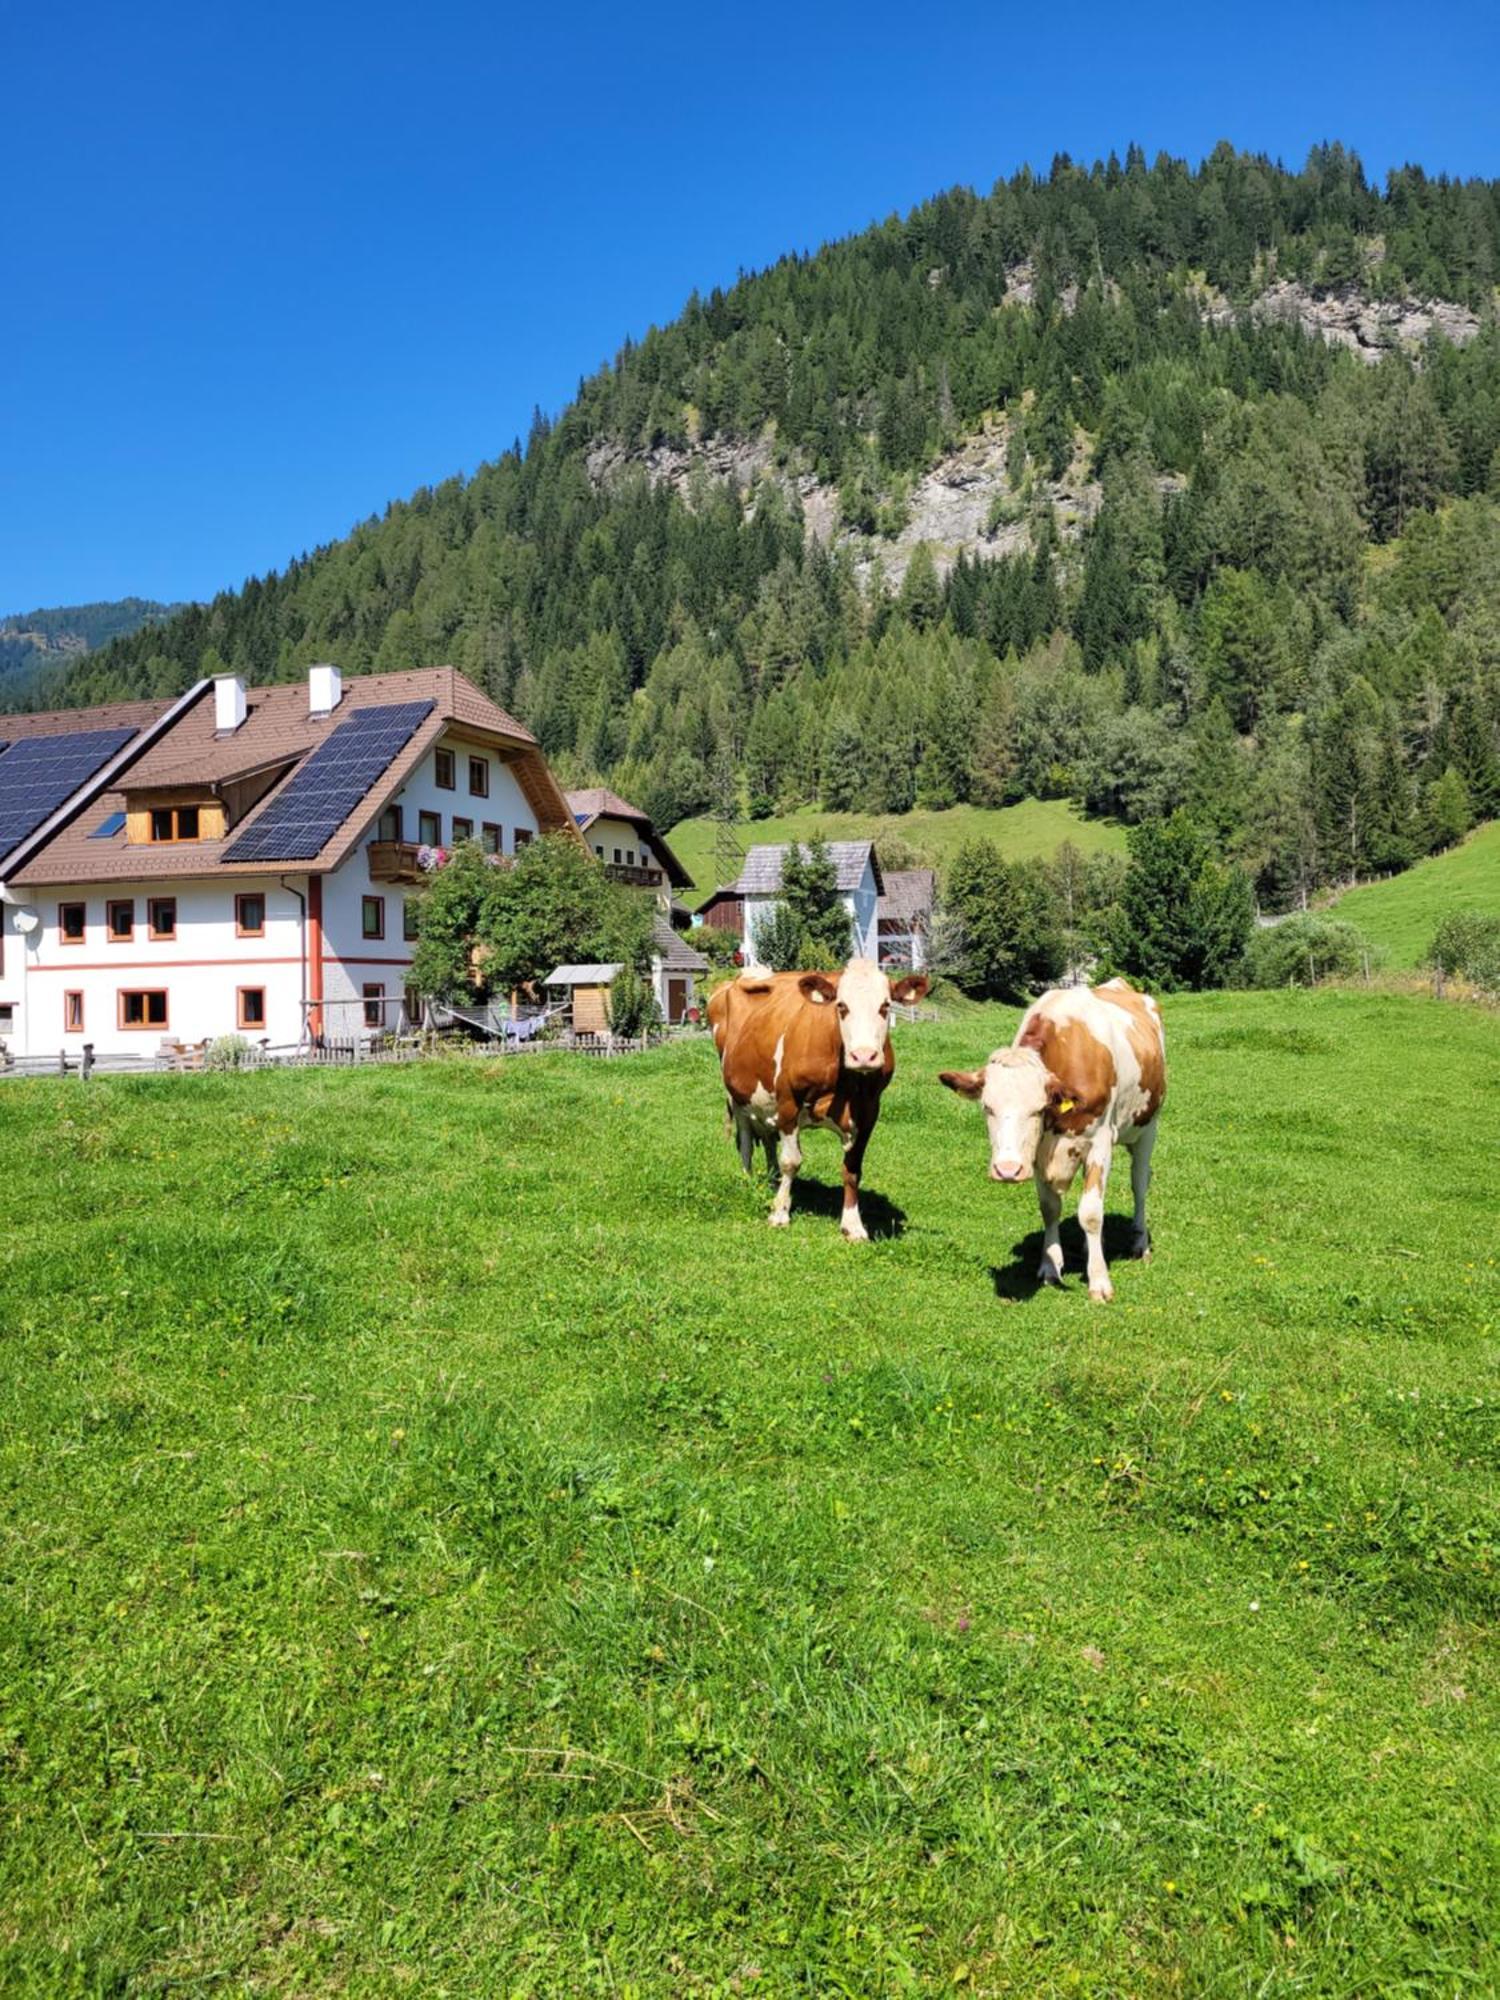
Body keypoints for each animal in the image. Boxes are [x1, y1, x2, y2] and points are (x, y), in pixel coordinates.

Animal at [704, 960, 928, 1240]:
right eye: (841, 1006)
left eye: (885, 1006)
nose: (864, 1056)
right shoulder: (788, 1101)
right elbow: (791, 1161)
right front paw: (780, 1212)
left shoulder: (869, 1110)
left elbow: (852, 1169)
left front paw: (853, 1225)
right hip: (737, 1095)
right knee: (745, 1140)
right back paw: (748, 1180)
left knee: (767, 1138)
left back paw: (771, 1178)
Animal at [940, 980, 1176, 1296]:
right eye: (987, 1107)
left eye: (1037, 1109)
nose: (1007, 1170)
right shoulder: (1038, 1152)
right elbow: (1050, 1208)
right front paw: (1050, 1267)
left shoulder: (1100, 1142)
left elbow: (1091, 1213)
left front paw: (1099, 1281)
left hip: (1148, 1126)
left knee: (1139, 1181)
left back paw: (1140, 1244)